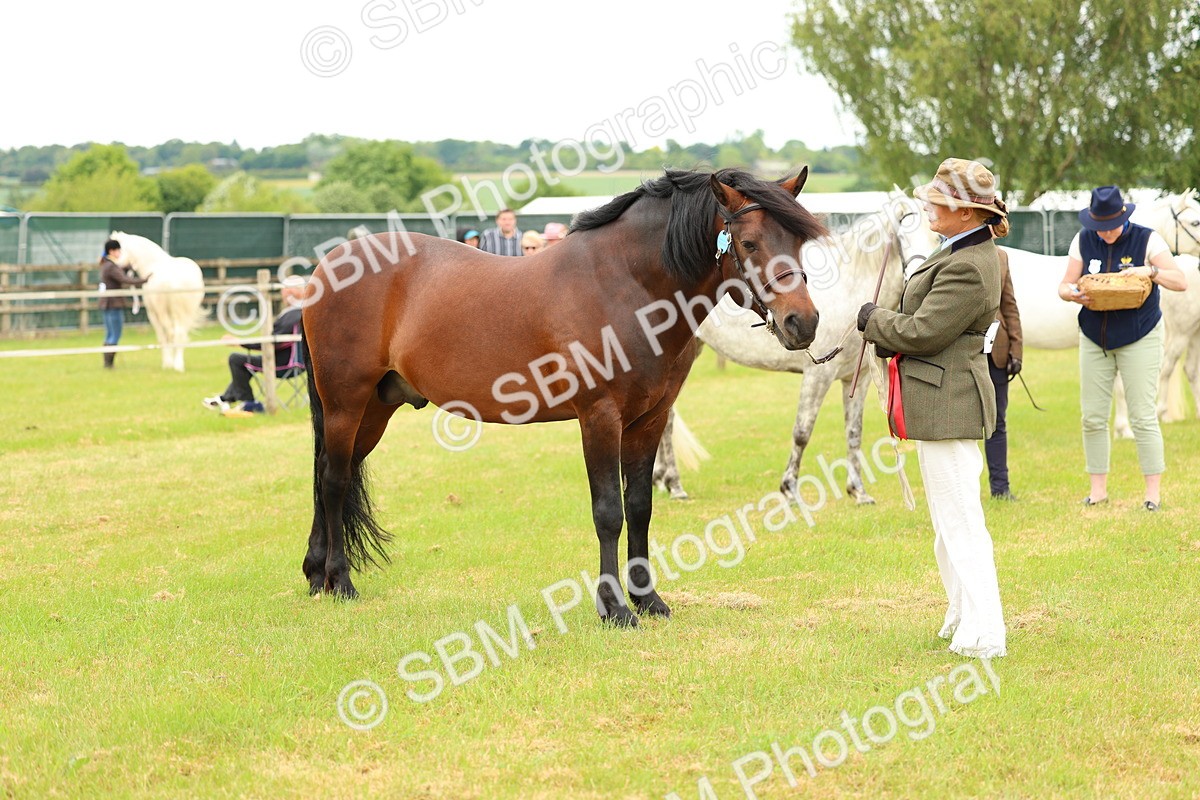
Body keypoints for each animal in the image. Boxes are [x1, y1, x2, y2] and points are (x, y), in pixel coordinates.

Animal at [110, 231, 206, 372]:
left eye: (119, 251)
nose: (115, 265)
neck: (153, 264)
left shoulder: (153, 313)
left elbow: (162, 337)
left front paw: (167, 363)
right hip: (187, 312)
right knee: (181, 334)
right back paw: (179, 364)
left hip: (164, 312)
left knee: (172, 333)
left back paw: (173, 364)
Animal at [299, 167, 827, 622]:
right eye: (749, 243)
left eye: (799, 243)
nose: (802, 322)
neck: (625, 285)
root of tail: (325, 269)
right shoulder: (600, 417)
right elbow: (609, 512)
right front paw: (614, 609)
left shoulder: (650, 419)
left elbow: (640, 506)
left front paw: (648, 600)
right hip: (345, 403)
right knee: (335, 480)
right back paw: (341, 582)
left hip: (375, 409)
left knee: (329, 474)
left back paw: (316, 575)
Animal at [653, 190, 941, 504]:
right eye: (902, 230)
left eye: (937, 234)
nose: (917, 277)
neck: (850, 290)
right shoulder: (818, 375)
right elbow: (802, 431)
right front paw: (789, 487)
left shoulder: (859, 378)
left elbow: (854, 432)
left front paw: (858, 491)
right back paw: (674, 484)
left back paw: (664, 480)